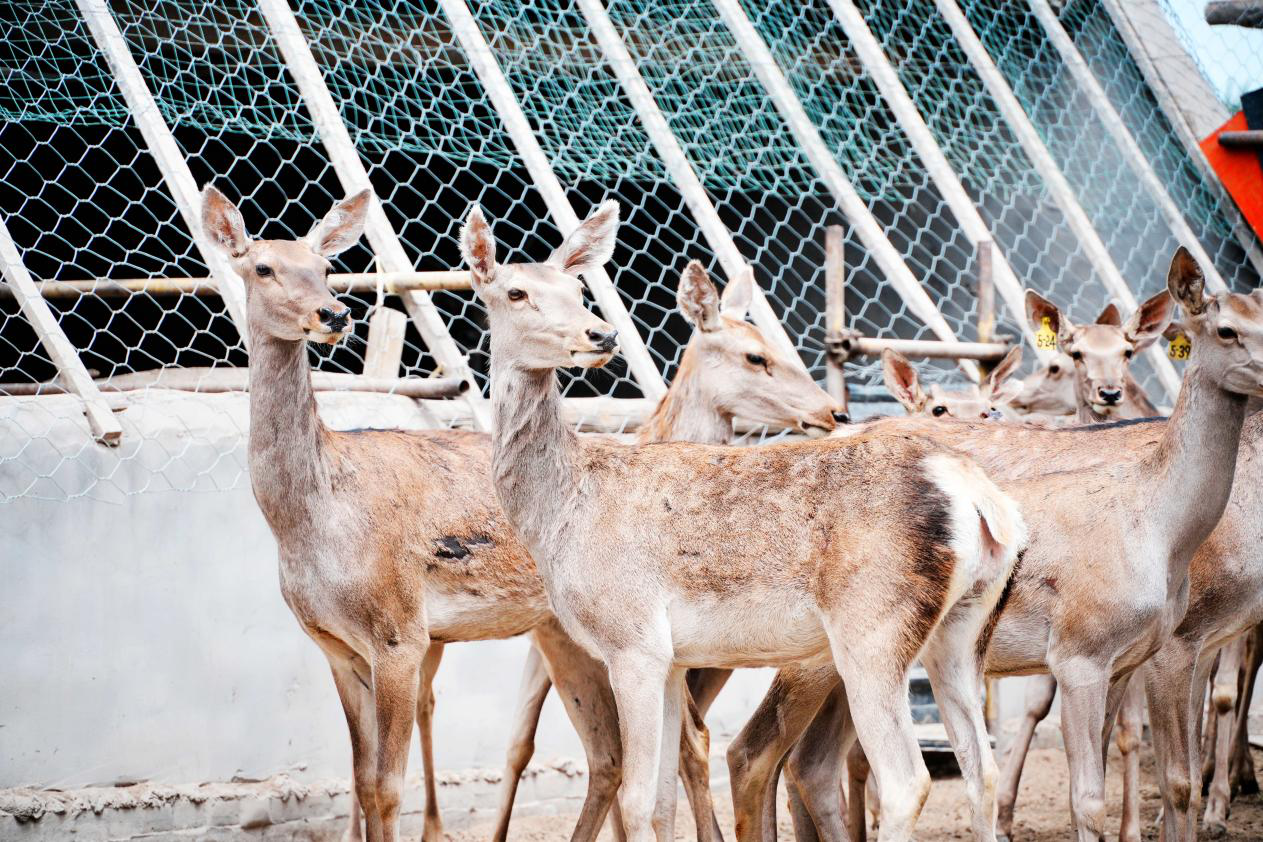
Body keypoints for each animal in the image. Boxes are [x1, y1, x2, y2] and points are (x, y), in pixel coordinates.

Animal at [198, 184, 845, 842]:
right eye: (262, 267)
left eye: (327, 268)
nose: (333, 314)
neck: (311, 518)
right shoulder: (335, 646)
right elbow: (363, 778)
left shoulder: (400, 631)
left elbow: (387, 784)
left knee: (670, 743)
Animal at [460, 200, 1027, 842]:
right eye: (516, 292)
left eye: (578, 288)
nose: (599, 334)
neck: (559, 516)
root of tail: (983, 502)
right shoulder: (671, 657)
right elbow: (661, 801)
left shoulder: (632, 639)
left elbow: (637, 799)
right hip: (965, 629)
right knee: (980, 769)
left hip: (873, 626)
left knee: (908, 780)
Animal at [723, 249, 1263, 842]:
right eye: (1227, 329)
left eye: (1128, 353)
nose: (1109, 391)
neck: (1165, 536)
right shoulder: (1108, 650)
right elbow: (1145, 786)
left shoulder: (1145, 654)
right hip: (819, 648)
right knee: (760, 751)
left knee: (809, 762)